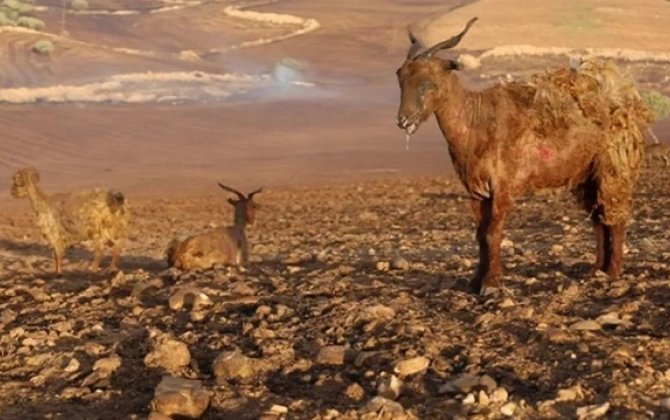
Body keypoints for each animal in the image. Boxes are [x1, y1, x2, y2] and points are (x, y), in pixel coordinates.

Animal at [396, 18, 652, 296]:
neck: (476, 121)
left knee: (615, 218)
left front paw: (491, 284)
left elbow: (492, 232)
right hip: (587, 176)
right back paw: (597, 270)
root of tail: (626, 103)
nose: (403, 121)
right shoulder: (476, 191)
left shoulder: (503, 187)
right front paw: (475, 281)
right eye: (400, 78)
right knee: (599, 219)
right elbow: (479, 234)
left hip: (613, 169)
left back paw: (613, 272)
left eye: (428, 82)